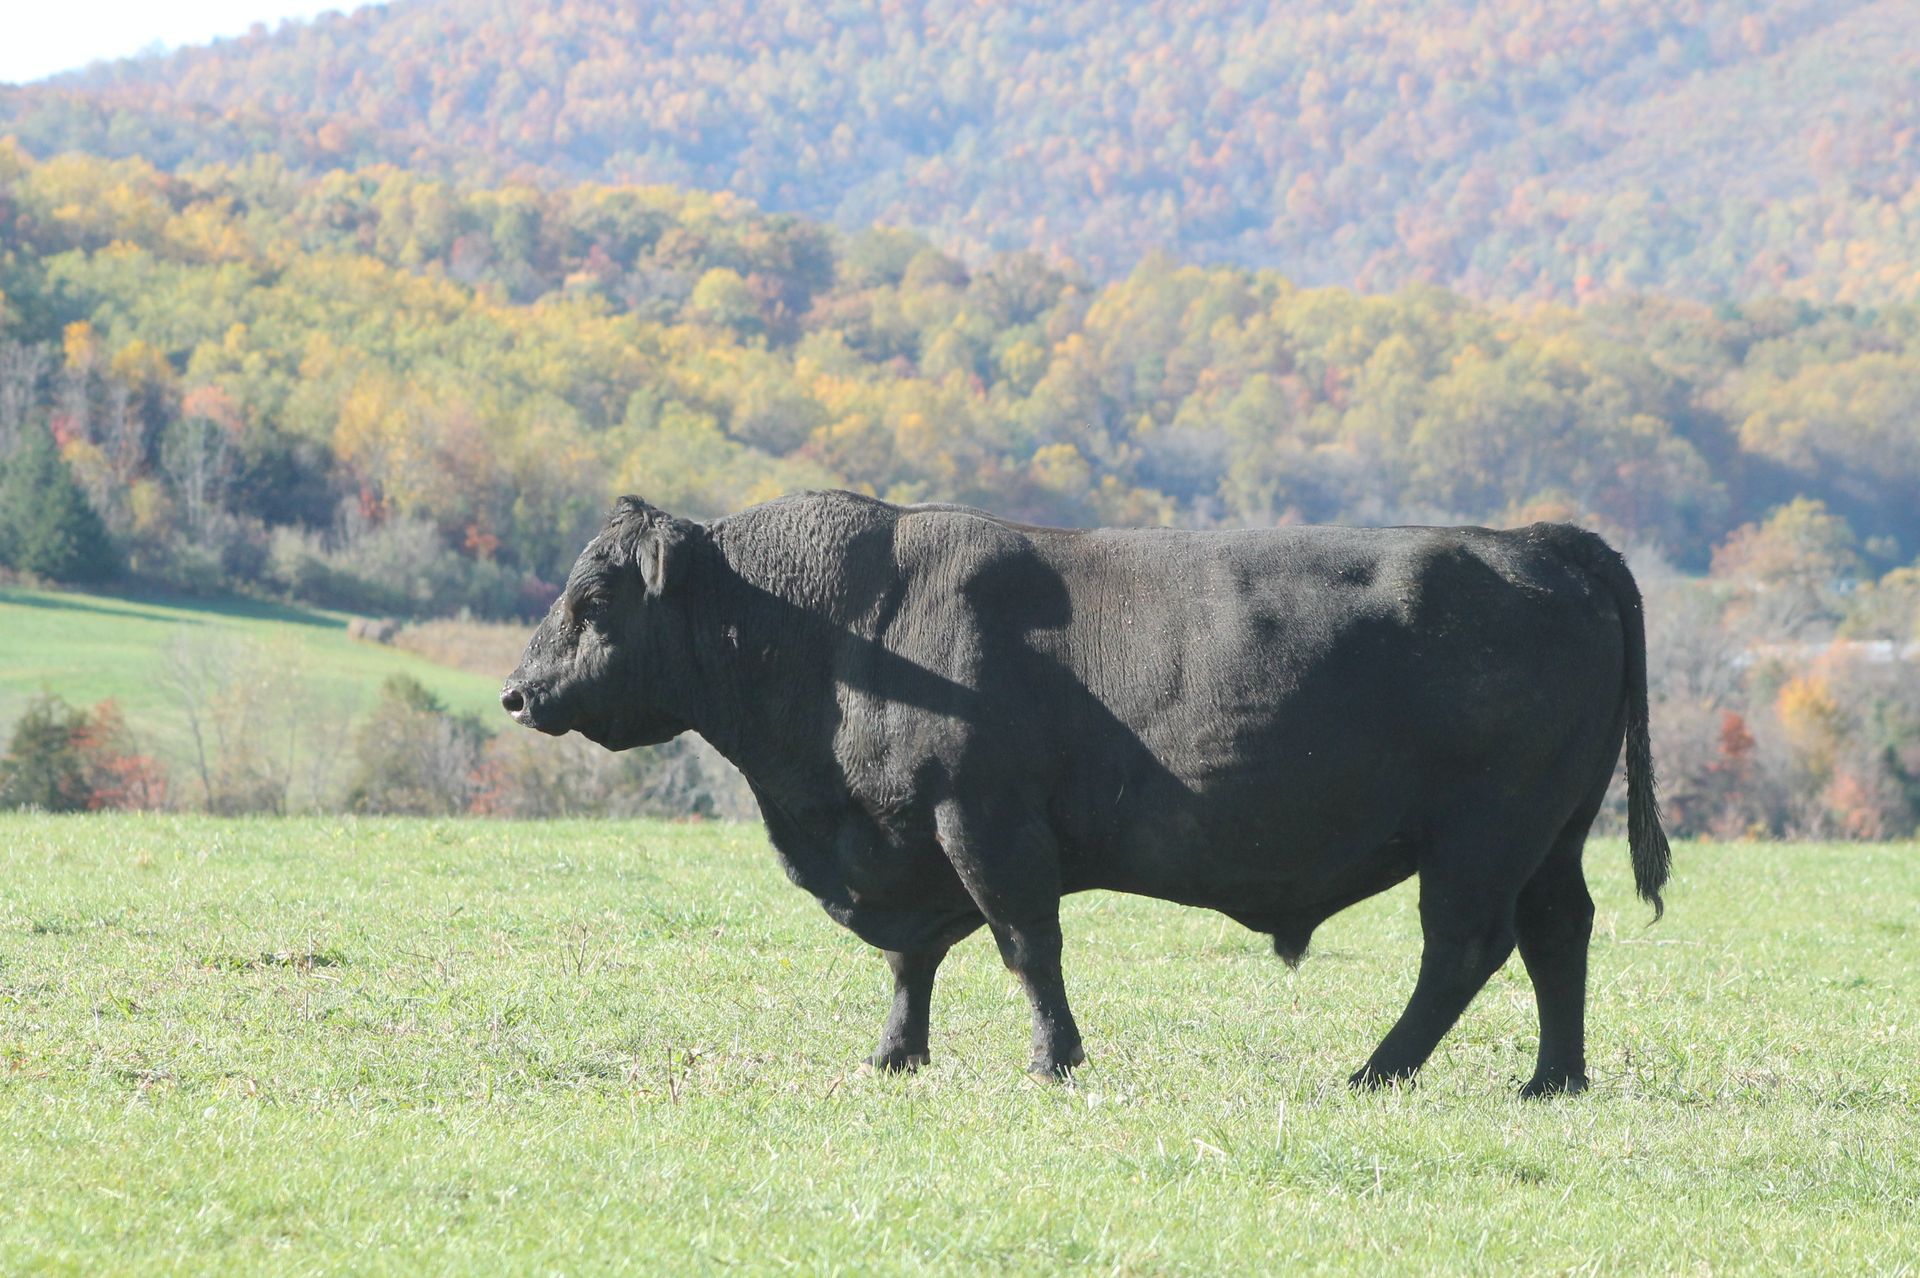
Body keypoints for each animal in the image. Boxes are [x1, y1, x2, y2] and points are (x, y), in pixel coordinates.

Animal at [501, 490, 1671, 1096]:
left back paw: (1375, 1070)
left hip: (1483, 836)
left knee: (1466, 948)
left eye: (595, 597)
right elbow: (911, 959)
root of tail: (1539, 540)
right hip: (1552, 834)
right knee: (1560, 932)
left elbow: (1027, 945)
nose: (517, 692)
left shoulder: (984, 823)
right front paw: (896, 1056)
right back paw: (1552, 1079)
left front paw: (1053, 1060)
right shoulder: (910, 843)